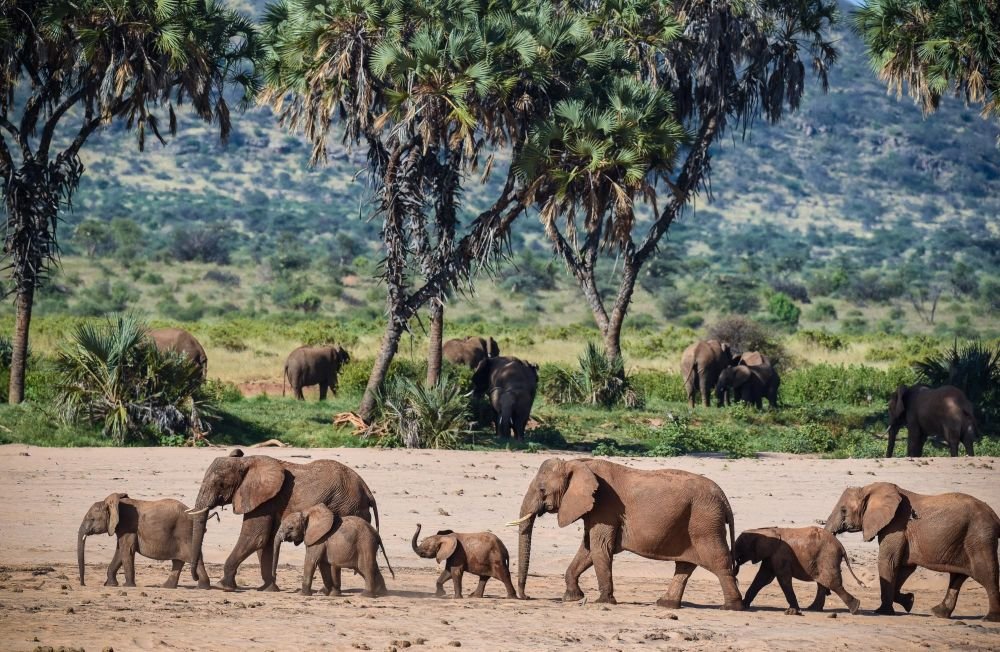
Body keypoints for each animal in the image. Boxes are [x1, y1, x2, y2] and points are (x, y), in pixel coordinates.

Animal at [77, 492, 211, 588]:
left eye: (91, 519)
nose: (83, 584)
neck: (112, 504)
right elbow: (120, 551)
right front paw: (111, 585)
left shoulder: (128, 525)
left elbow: (126, 550)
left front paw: (128, 586)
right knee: (179, 560)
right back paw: (167, 587)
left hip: (184, 533)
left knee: (192, 557)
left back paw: (202, 587)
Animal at [187, 448, 378, 592]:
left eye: (220, 484)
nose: (197, 581)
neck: (246, 462)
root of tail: (367, 489)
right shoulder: (267, 500)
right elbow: (266, 541)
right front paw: (268, 588)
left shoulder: (264, 499)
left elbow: (255, 537)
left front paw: (223, 586)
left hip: (348, 506)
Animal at [516, 458, 744, 612]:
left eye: (542, 489)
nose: (526, 597)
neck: (578, 464)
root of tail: (724, 498)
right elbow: (588, 549)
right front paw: (572, 598)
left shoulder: (604, 506)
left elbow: (600, 547)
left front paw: (603, 602)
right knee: (685, 565)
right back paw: (665, 604)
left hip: (705, 521)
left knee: (718, 561)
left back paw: (731, 607)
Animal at [732, 524, 864, 616]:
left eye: (739, 546)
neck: (765, 529)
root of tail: (841, 546)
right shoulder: (771, 556)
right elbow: (762, 578)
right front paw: (744, 604)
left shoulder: (780, 555)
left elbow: (783, 579)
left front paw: (792, 611)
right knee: (823, 583)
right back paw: (813, 609)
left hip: (828, 557)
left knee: (832, 583)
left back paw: (855, 608)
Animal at [824, 482, 996, 620]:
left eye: (843, 510)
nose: (827, 594)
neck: (869, 489)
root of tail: (995, 517)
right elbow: (905, 567)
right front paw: (909, 601)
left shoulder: (896, 525)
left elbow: (888, 562)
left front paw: (883, 612)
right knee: (958, 576)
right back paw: (938, 613)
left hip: (979, 537)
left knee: (986, 574)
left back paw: (989, 619)